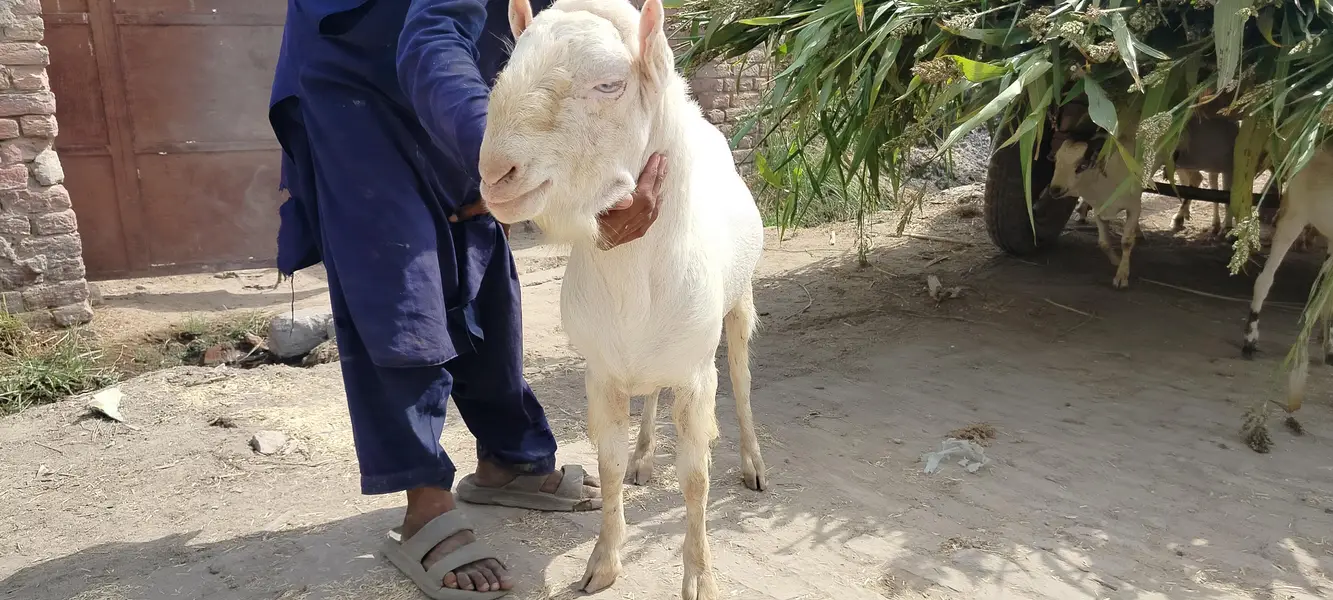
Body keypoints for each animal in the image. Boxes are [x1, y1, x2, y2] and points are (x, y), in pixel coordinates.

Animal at [478, 0, 766, 597]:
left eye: (609, 84)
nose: (495, 174)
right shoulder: (603, 371)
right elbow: (606, 465)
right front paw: (603, 562)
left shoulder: (696, 374)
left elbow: (696, 478)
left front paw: (700, 577)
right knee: (650, 396)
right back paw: (644, 457)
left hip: (738, 302)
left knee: (743, 379)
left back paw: (753, 462)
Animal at [1047, 131, 1145, 289]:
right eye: (1056, 160)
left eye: (1082, 165)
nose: (1055, 189)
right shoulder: (1100, 210)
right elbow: (1103, 243)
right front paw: (1116, 261)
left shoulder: (1134, 207)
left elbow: (1126, 242)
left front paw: (1122, 276)